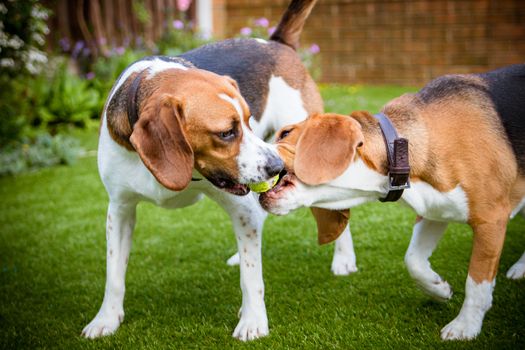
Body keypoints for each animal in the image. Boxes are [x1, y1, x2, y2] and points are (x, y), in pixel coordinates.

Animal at [82, 0, 354, 342]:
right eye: (226, 132)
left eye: (248, 120)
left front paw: (253, 321)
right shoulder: (119, 209)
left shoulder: (240, 202)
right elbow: (113, 273)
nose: (277, 167)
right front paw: (106, 318)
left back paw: (343, 259)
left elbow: (252, 280)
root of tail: (275, 42)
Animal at [260, 64, 524, 340]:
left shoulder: (491, 219)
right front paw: (438, 288)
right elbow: (413, 260)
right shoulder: (433, 209)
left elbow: (477, 280)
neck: (398, 149)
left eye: (285, 133)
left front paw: (466, 325)